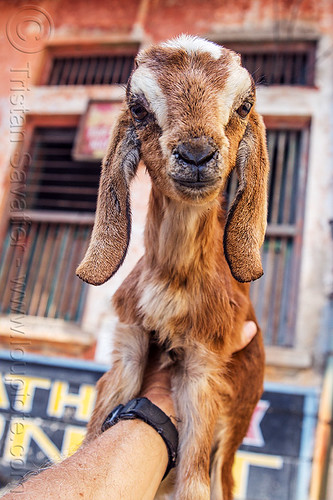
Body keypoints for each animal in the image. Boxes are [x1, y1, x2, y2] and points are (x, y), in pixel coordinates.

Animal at [76, 36, 268, 500]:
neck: (173, 280)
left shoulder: (205, 365)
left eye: (243, 106)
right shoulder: (128, 344)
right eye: (139, 108)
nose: (197, 154)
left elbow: (194, 484)